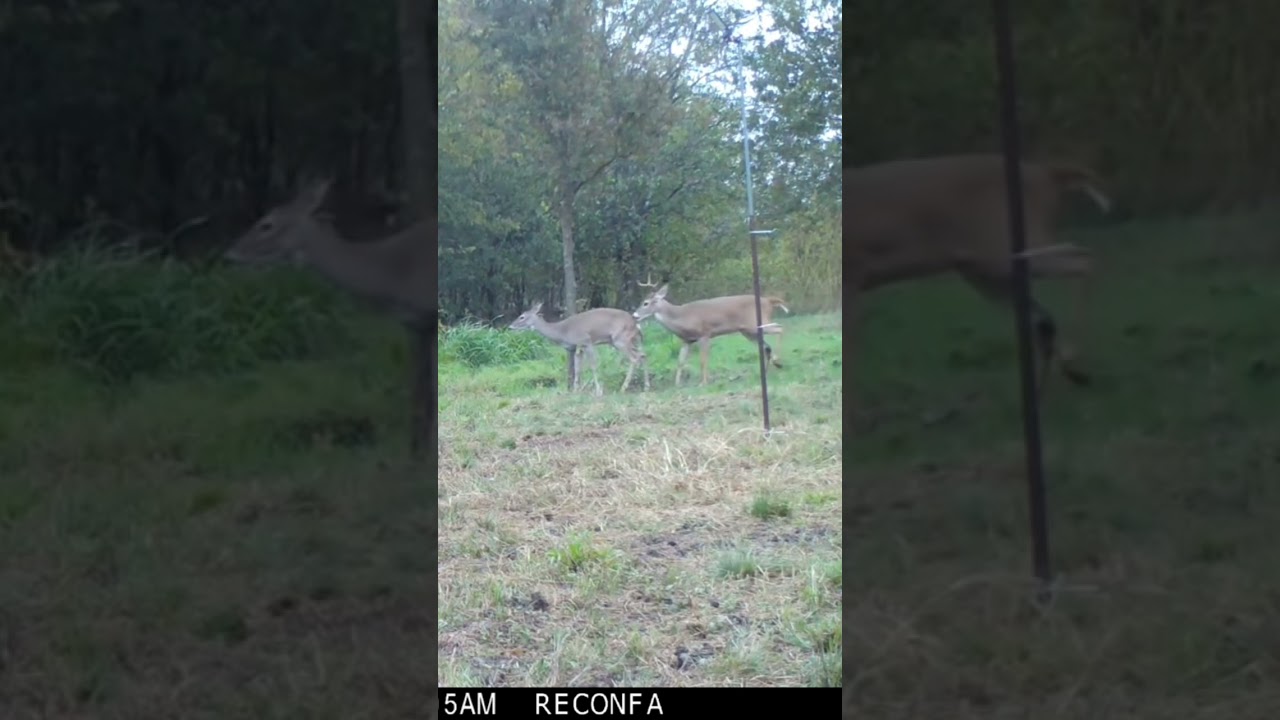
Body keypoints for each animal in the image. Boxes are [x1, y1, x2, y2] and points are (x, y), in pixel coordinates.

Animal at [224, 178, 436, 458]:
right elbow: (419, 393)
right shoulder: (414, 326)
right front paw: (415, 454)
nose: (230, 254)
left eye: (267, 224)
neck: (393, 276)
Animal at [508, 301, 650, 396]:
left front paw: (598, 391)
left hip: (620, 339)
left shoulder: (586, 342)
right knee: (643, 355)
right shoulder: (577, 347)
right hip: (629, 341)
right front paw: (576, 390)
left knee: (634, 358)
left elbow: (593, 366)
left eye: (522, 316)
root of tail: (636, 325)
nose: (510, 326)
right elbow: (577, 369)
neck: (562, 332)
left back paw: (623, 388)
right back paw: (646, 386)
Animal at [631, 278, 790, 386]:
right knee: (766, 346)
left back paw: (778, 361)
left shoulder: (705, 334)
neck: (681, 317)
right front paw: (677, 384)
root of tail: (769, 301)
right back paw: (771, 370)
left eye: (645, 303)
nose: (634, 315)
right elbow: (680, 362)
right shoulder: (687, 340)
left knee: (780, 328)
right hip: (748, 331)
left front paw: (703, 382)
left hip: (756, 324)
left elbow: (703, 360)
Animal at [844, 154, 1112, 393]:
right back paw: (1058, 379)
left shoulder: (853, 275)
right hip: (985, 270)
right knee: (1042, 320)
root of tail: (1047, 174)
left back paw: (1070, 356)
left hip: (1006, 248)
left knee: (1085, 259)